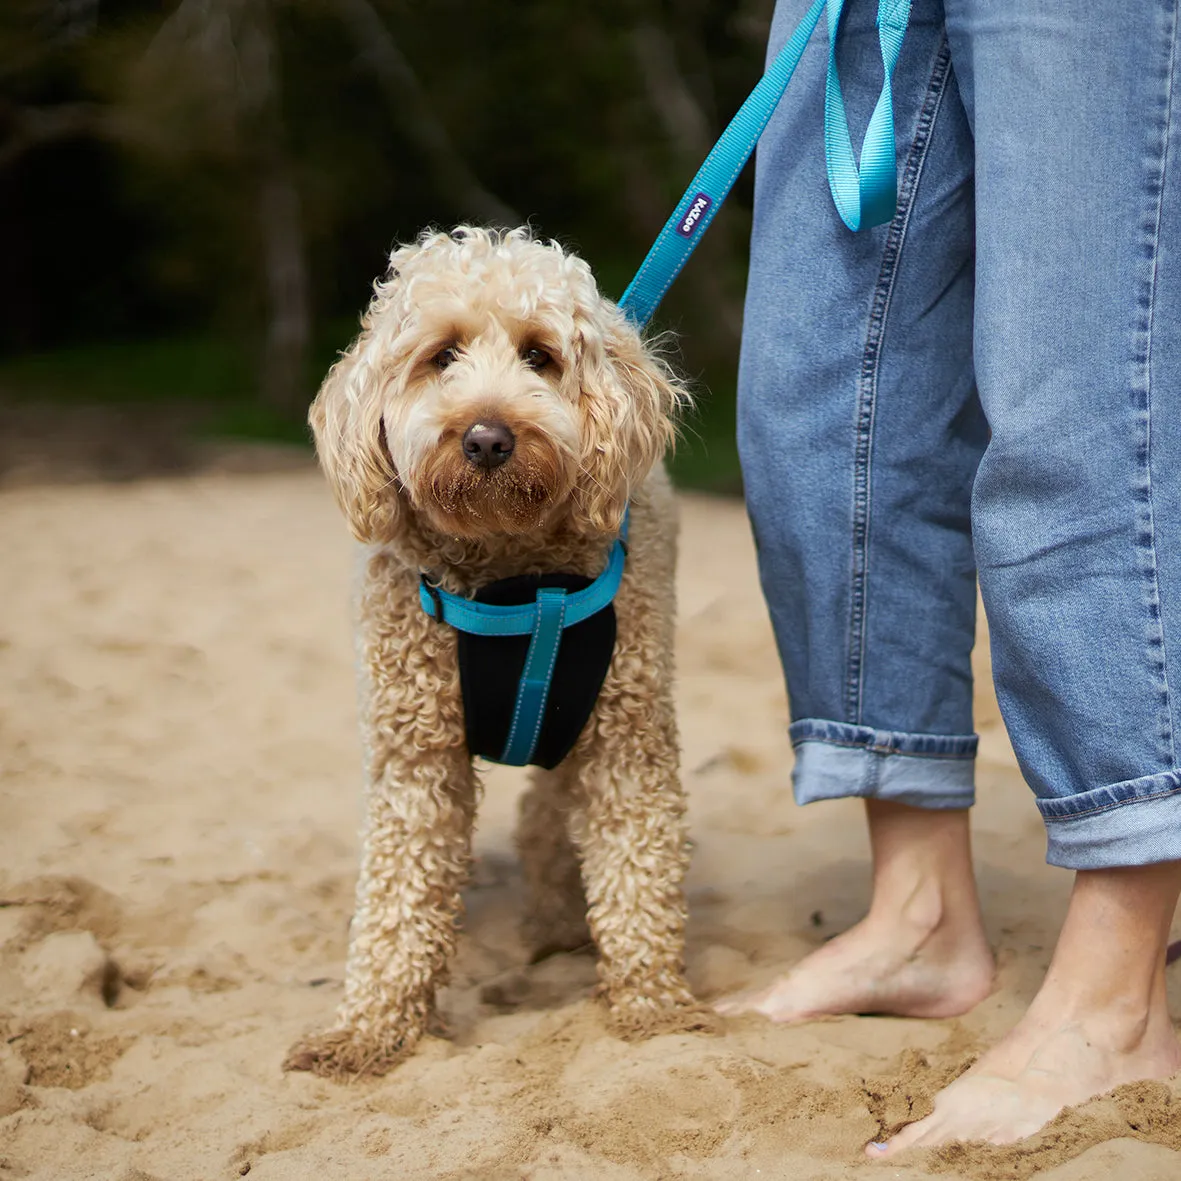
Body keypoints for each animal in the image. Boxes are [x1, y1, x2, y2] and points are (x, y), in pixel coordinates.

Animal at [285, 223, 708, 1081]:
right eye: (441, 355)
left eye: (539, 355)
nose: (486, 436)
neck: (510, 575)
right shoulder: (416, 761)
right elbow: (395, 901)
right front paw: (367, 1030)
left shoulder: (626, 741)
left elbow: (637, 869)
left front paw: (652, 1007)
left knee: (550, 819)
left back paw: (556, 927)